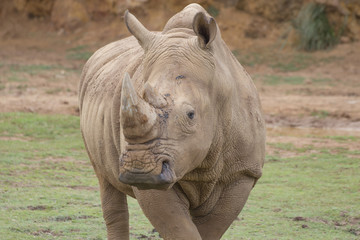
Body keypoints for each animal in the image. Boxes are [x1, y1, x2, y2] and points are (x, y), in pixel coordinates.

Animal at [79, 3, 264, 240]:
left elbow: (209, 229)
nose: (139, 169)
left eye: (191, 115)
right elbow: (179, 228)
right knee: (105, 179)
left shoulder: (242, 172)